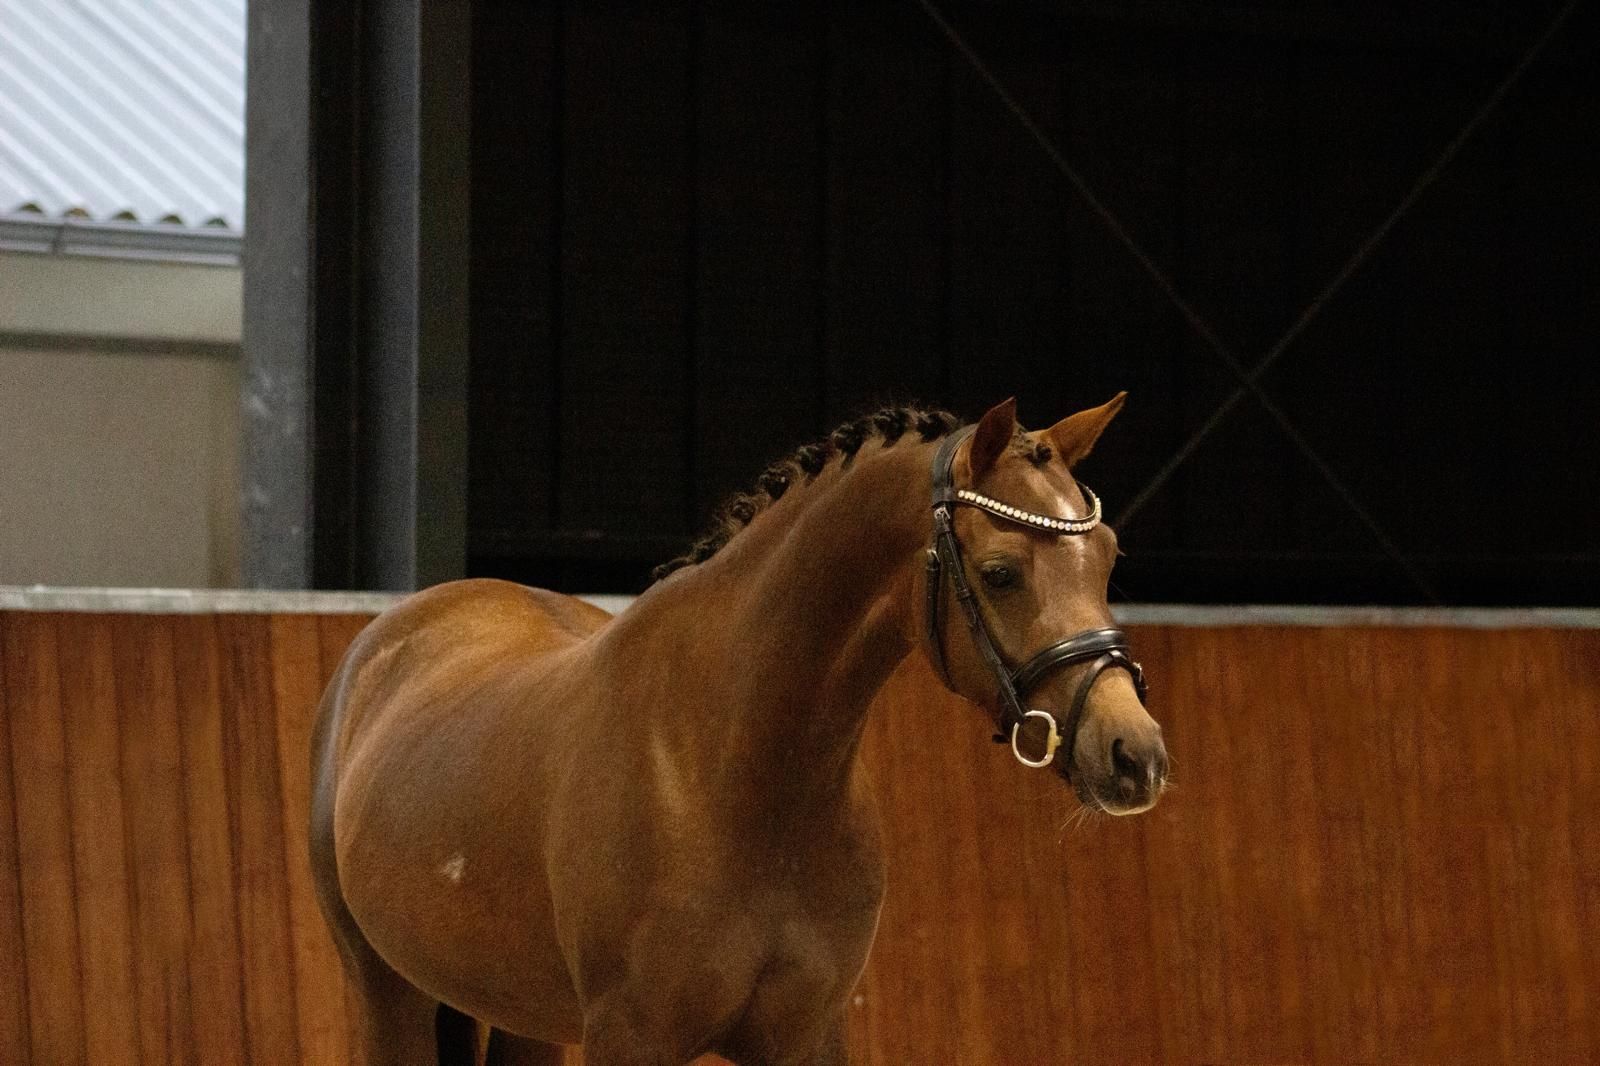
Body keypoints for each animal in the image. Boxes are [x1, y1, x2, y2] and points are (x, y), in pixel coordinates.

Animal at [309, 395, 1169, 1065]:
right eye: (999, 572)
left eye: (1107, 556)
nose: (1135, 755)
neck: (731, 768)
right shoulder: (632, 1038)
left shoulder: (804, 1036)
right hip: (386, 994)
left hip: (525, 1017)